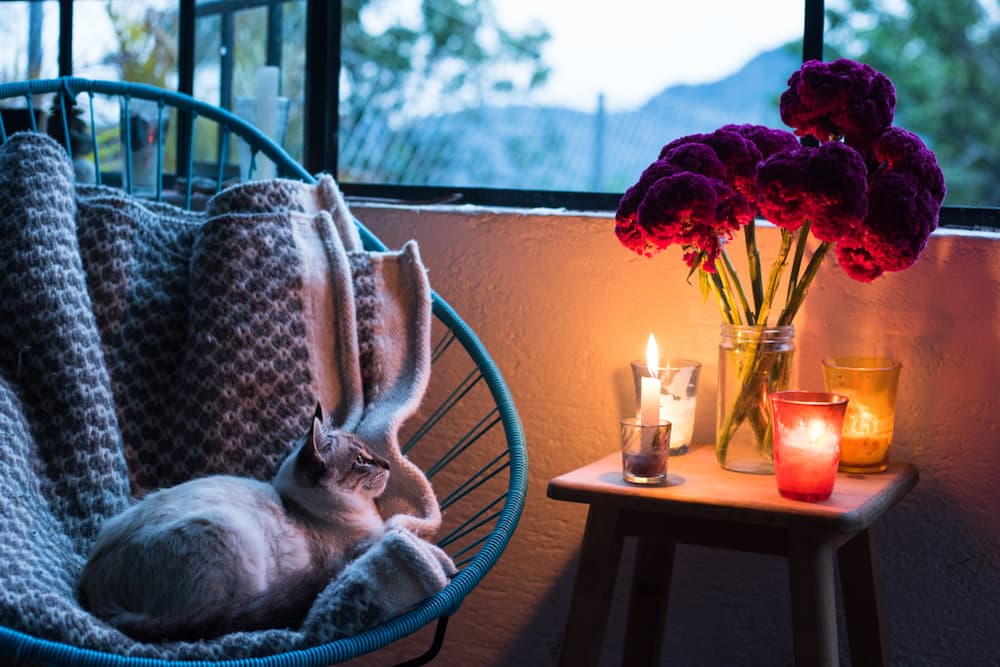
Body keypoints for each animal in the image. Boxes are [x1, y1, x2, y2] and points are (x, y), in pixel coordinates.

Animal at [77, 402, 390, 640]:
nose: (388, 464)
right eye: (361, 460)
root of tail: (99, 595)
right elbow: (392, 525)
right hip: (232, 532)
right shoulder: (362, 543)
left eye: (369, 453)